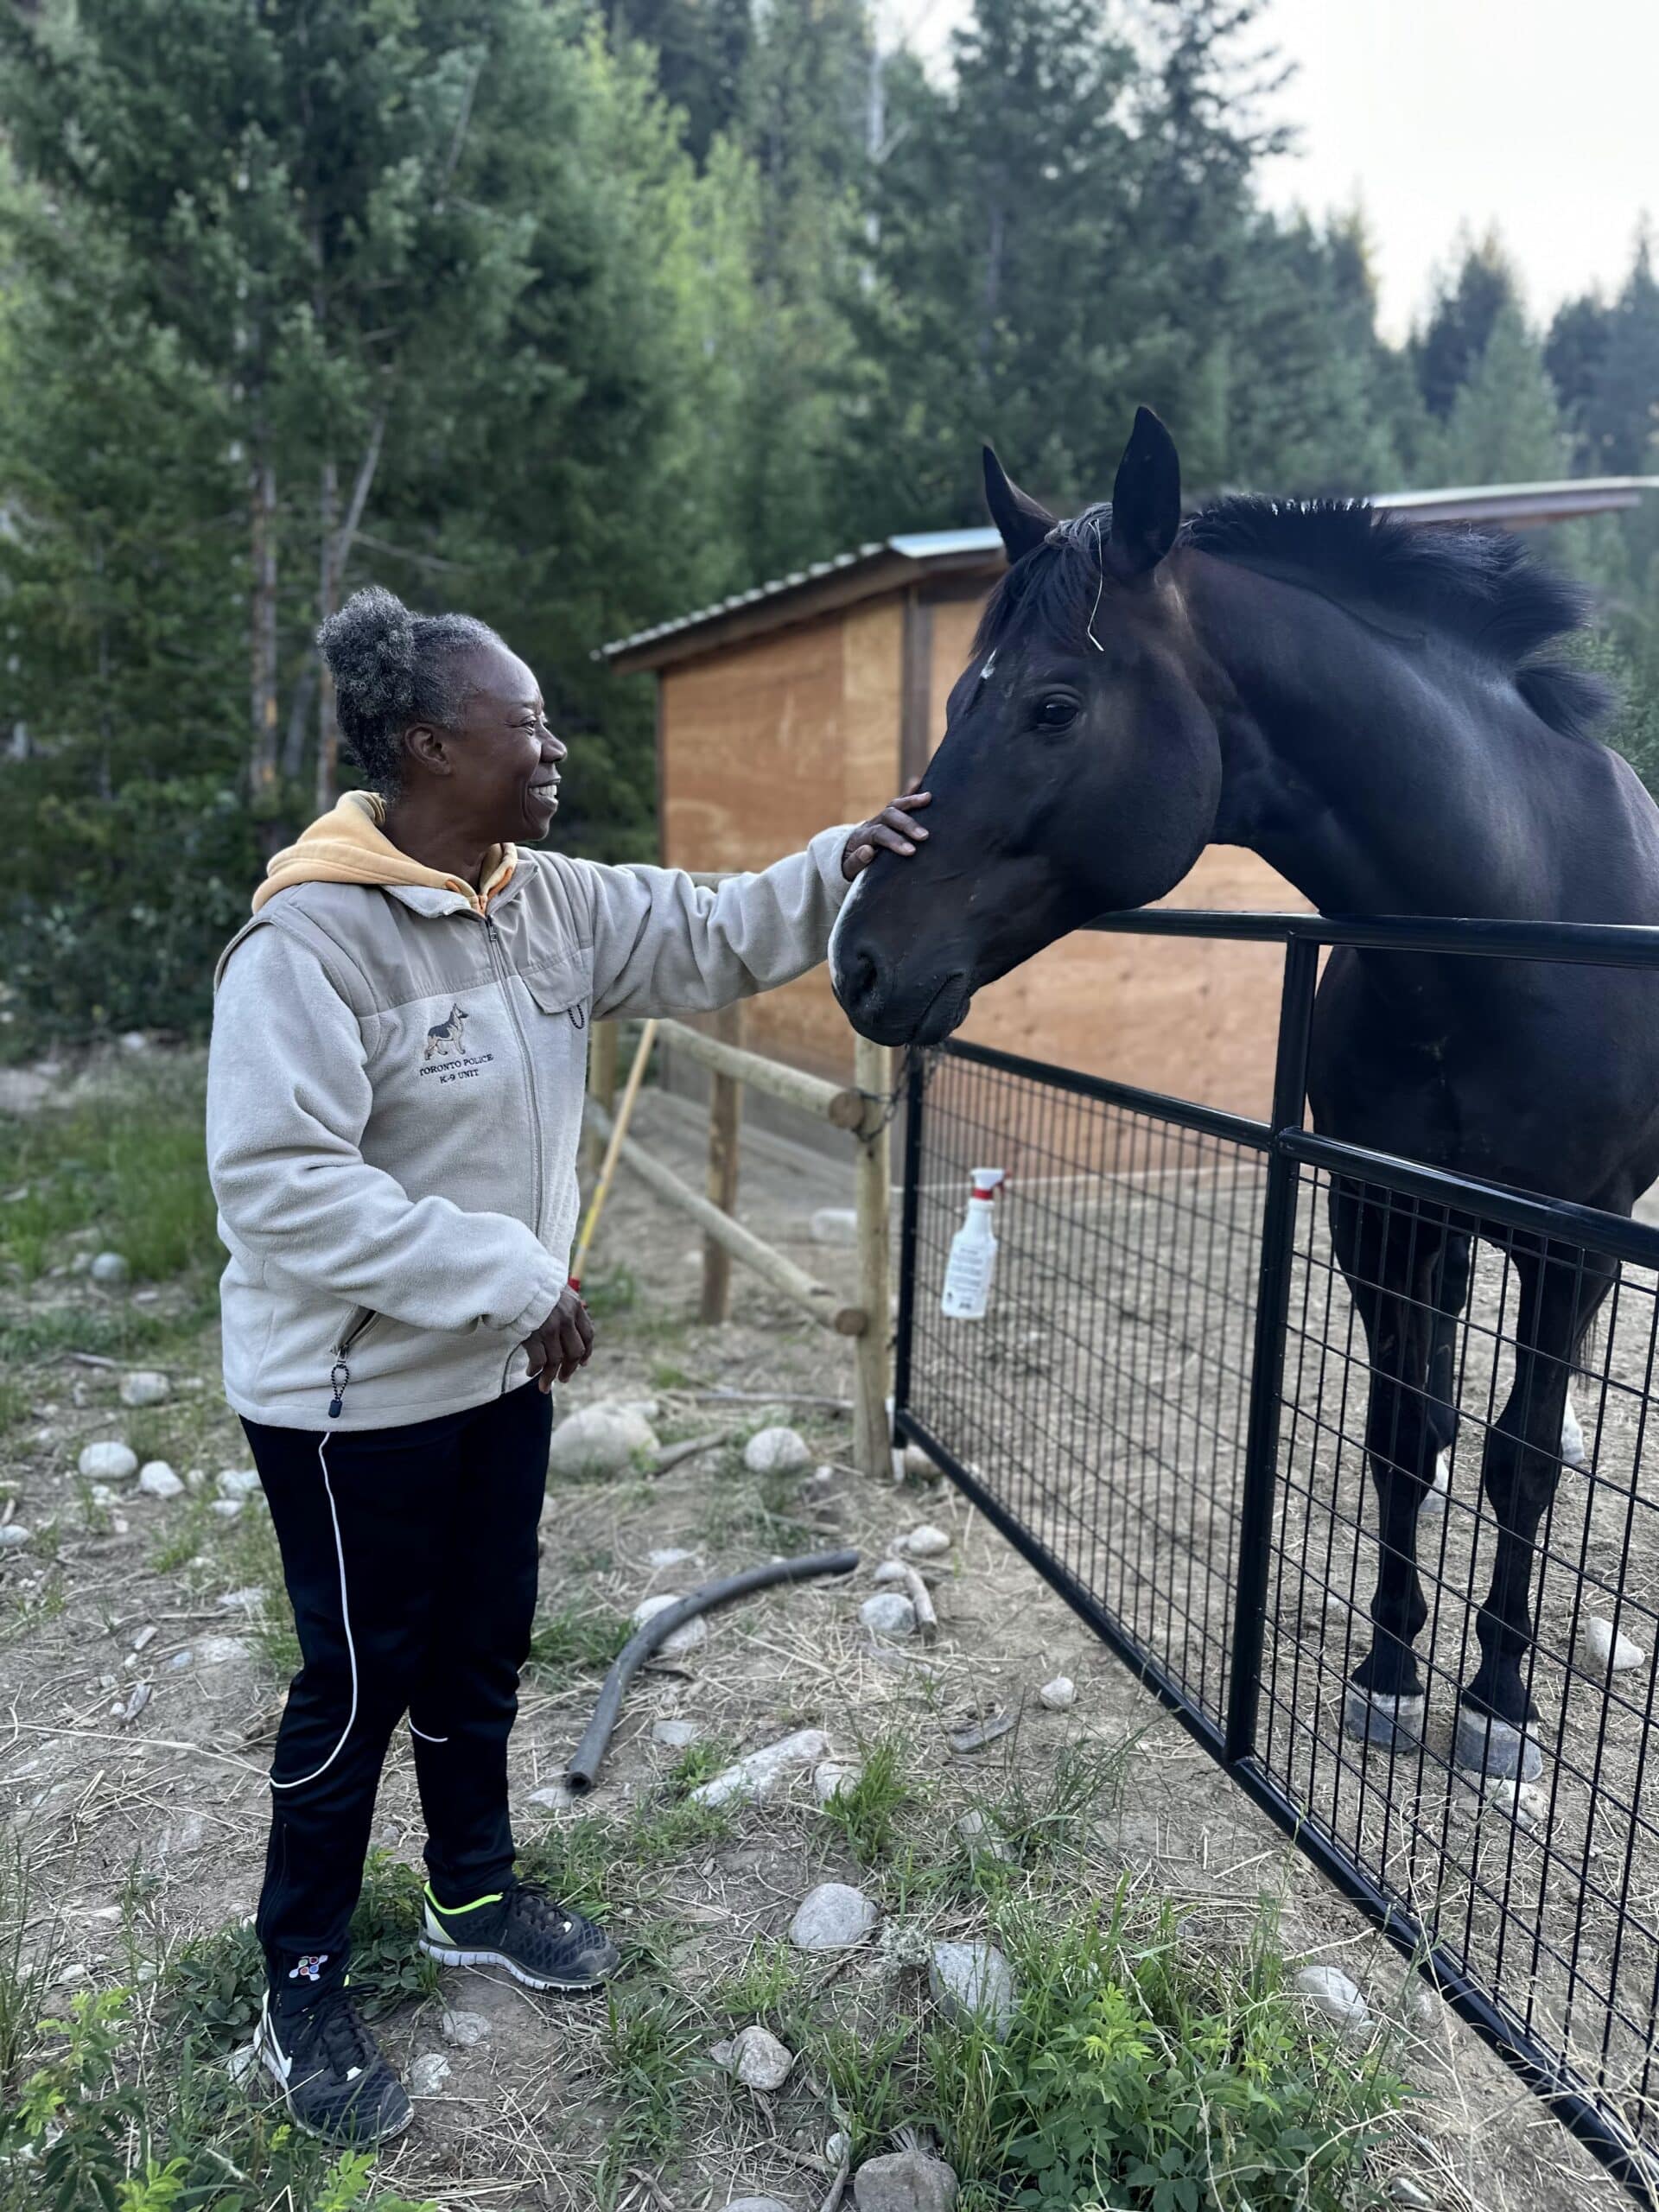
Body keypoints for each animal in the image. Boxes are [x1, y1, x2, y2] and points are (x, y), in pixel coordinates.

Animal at [831, 407, 1659, 1783]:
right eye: (958, 697)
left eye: (1053, 706)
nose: (861, 961)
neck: (1517, 924)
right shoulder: (1381, 1214)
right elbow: (1403, 1437)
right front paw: (1390, 1672)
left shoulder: (1572, 1244)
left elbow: (1526, 1458)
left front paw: (1497, 1700)